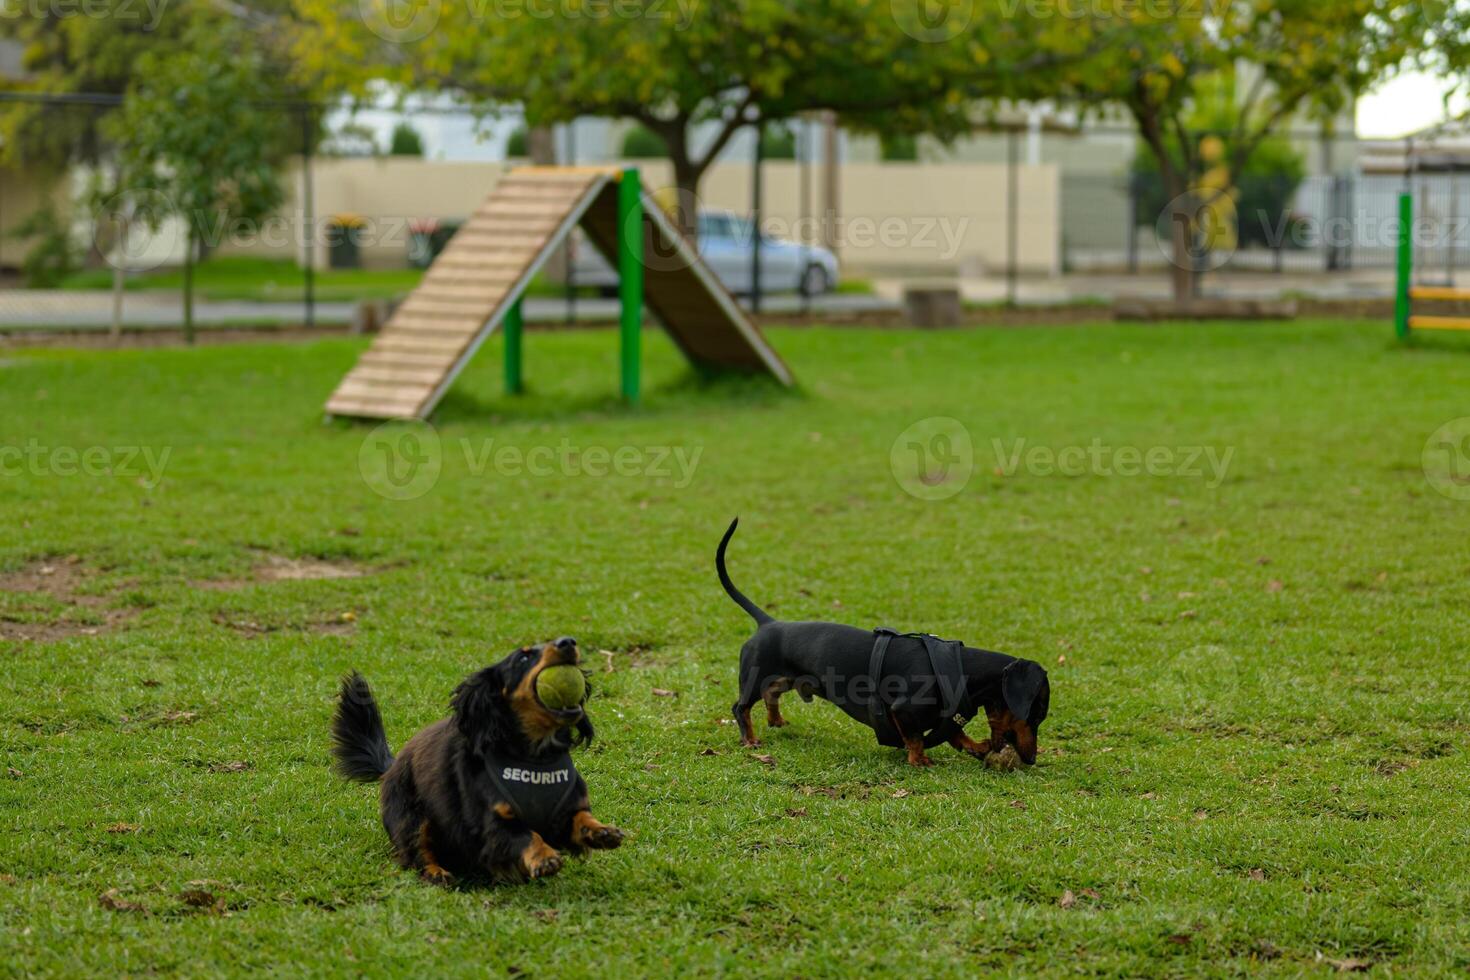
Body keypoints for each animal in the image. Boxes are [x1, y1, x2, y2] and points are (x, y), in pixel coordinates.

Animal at [330, 640, 623, 887]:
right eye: (523, 657)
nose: (568, 642)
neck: (535, 756)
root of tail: (391, 766)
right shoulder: (492, 825)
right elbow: (527, 835)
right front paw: (544, 857)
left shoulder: (564, 811)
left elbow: (581, 817)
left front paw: (601, 831)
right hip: (411, 817)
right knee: (417, 851)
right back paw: (436, 872)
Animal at [714, 520, 1046, 764]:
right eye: (1036, 716)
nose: (1030, 760)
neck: (959, 668)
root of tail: (768, 623)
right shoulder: (904, 710)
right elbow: (915, 738)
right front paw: (920, 760)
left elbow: (952, 732)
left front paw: (974, 745)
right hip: (754, 678)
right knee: (740, 707)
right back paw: (750, 738)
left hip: (783, 679)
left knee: (772, 696)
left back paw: (776, 721)